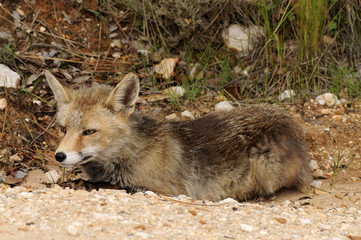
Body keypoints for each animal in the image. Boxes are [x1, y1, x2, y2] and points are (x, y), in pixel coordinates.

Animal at [43, 70, 310, 202]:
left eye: (89, 131)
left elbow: (107, 187)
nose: (59, 156)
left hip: (264, 166)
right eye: (63, 129)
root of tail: (291, 124)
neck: (130, 152)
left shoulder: (164, 189)